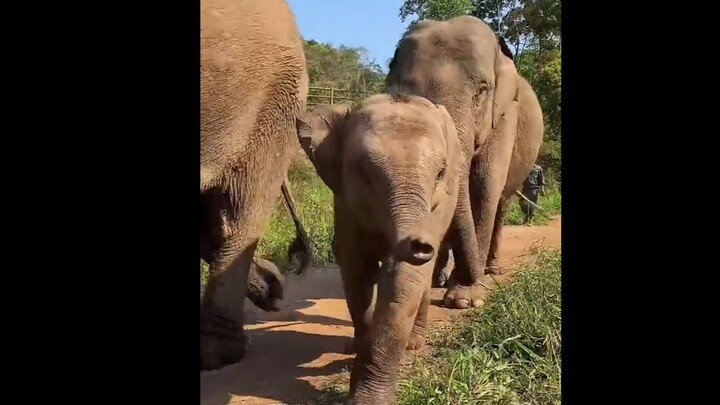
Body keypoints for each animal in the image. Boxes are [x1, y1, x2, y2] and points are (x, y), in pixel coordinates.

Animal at [296, 94, 463, 404]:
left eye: (440, 173)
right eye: (363, 171)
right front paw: (358, 357)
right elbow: (357, 272)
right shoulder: (345, 203)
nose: (420, 244)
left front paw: (366, 395)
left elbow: (403, 279)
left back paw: (413, 343)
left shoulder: (437, 207)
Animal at [386, 16, 545, 310]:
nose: (475, 278)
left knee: (501, 203)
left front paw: (465, 300)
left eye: (481, 92)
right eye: (405, 92)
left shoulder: (504, 114)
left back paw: (490, 270)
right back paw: (439, 278)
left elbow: (483, 185)